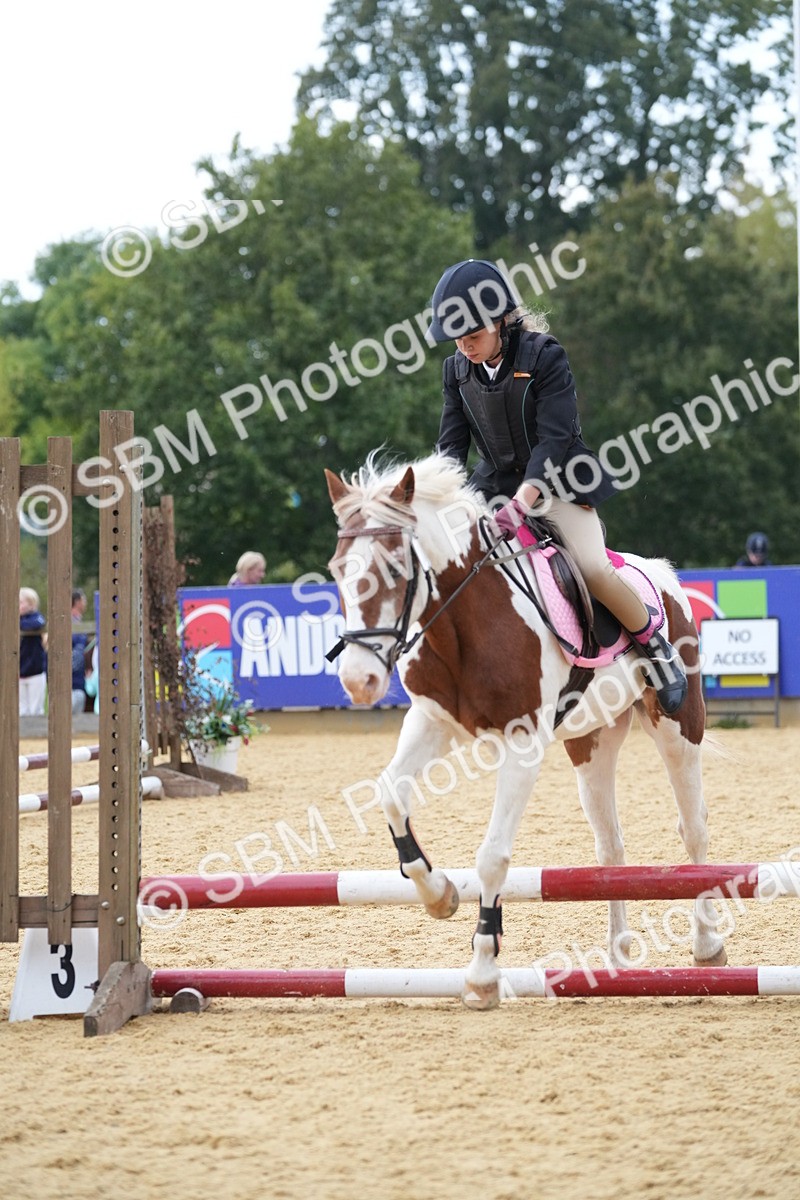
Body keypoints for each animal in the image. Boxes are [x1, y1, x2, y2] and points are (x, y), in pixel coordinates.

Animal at [324, 452, 727, 1010]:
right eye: (337, 570)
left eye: (395, 568)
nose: (359, 681)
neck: (462, 620)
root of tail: (661, 573)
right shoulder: (431, 722)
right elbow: (389, 795)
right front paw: (438, 894)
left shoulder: (522, 742)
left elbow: (493, 857)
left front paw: (481, 975)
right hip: (591, 742)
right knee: (610, 848)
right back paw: (618, 956)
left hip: (677, 727)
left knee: (695, 829)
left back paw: (707, 943)